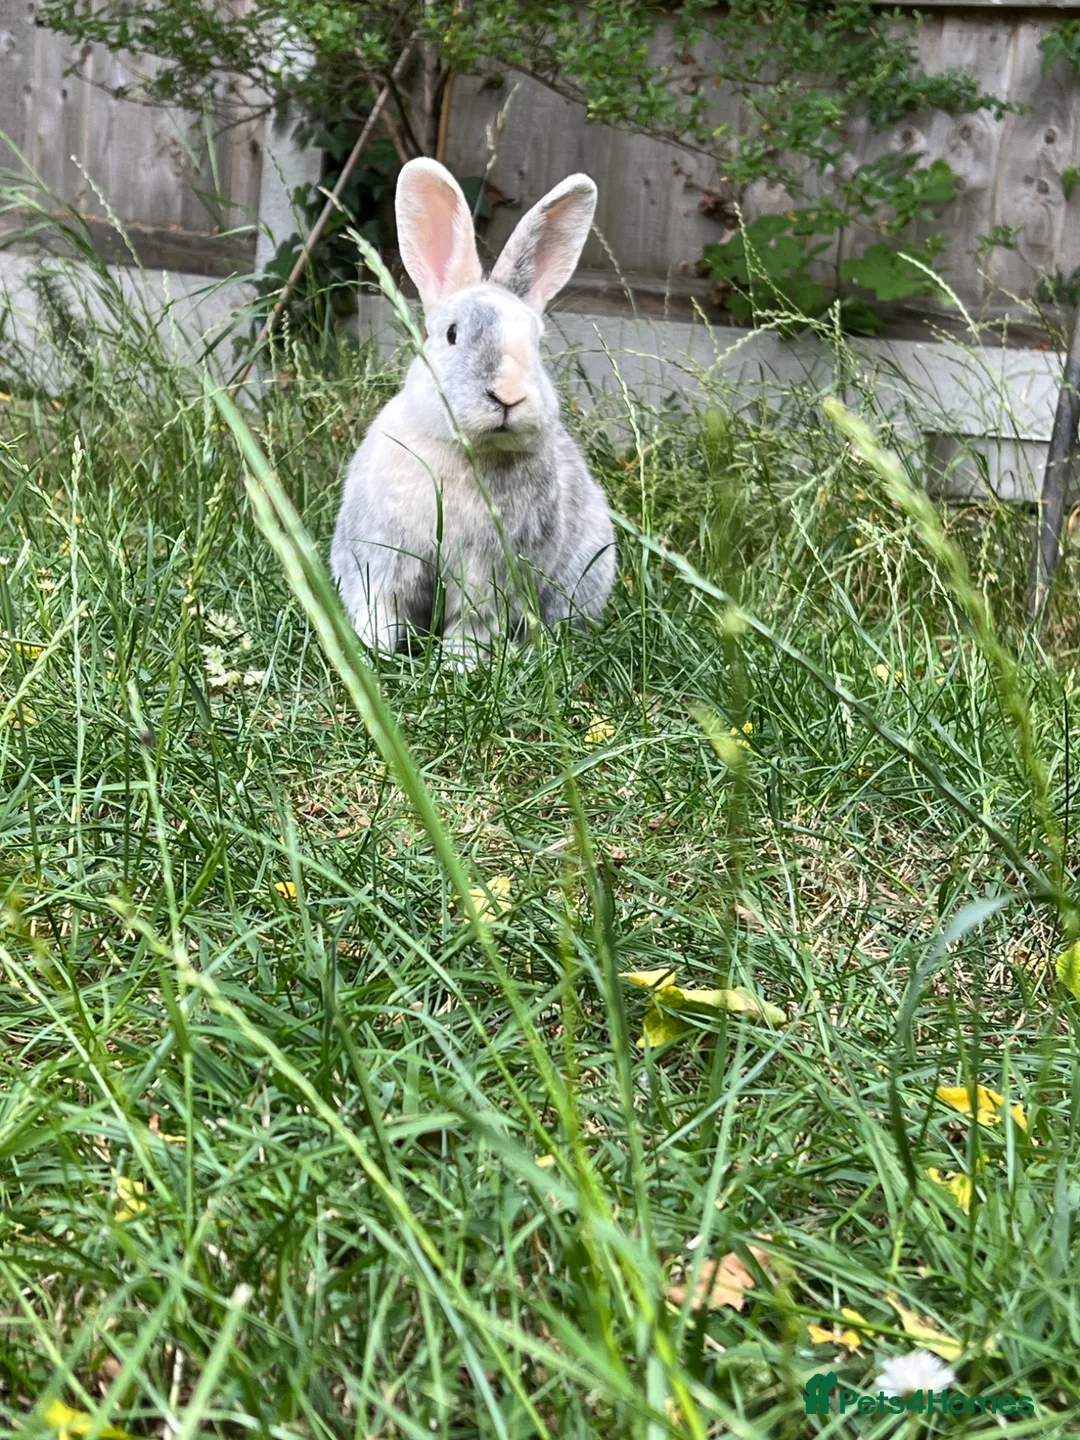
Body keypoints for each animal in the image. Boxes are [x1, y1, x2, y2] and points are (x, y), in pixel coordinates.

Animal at [330, 157, 616, 665]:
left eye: (537, 344)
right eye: (451, 334)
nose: (508, 395)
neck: (462, 451)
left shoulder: (488, 577)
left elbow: (473, 624)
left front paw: (460, 665)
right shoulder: (381, 559)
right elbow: (379, 607)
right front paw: (371, 651)